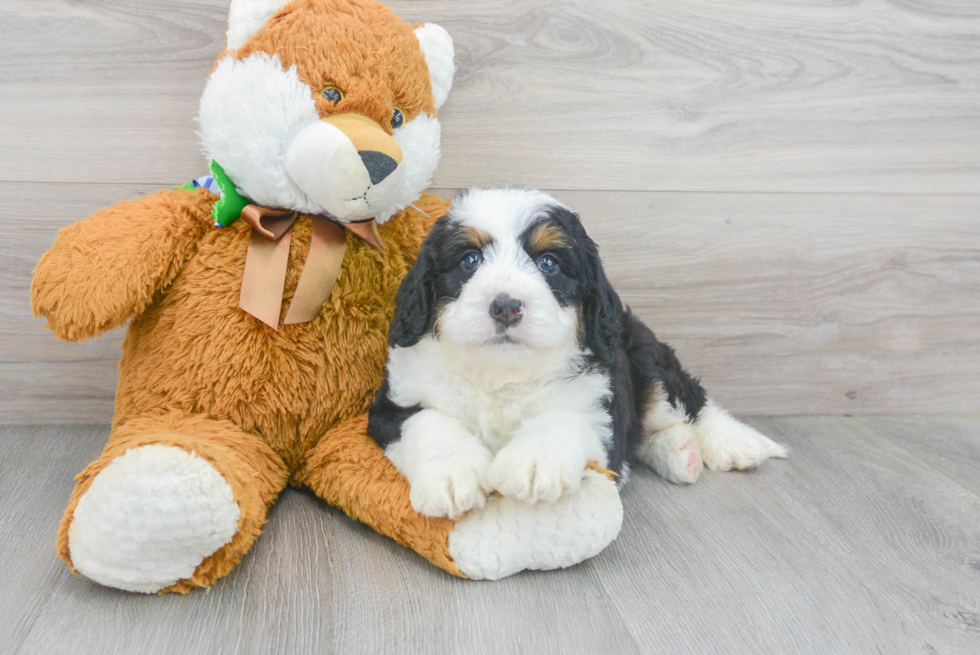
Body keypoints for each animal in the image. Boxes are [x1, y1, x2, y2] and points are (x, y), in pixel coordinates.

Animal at [368, 187, 788, 520]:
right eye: (470, 260)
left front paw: (535, 462)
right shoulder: (393, 402)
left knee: (689, 400)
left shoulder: (598, 405)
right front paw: (453, 476)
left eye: (548, 263)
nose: (506, 306)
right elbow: (429, 422)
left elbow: (563, 418)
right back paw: (680, 452)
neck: (501, 373)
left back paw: (735, 443)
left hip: (645, 355)